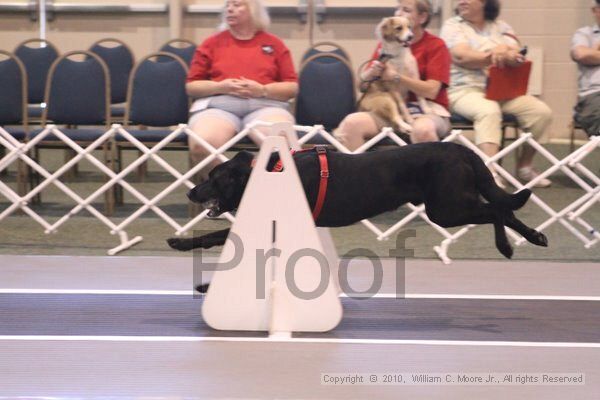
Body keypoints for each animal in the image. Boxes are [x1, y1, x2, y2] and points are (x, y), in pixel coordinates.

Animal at [168, 142, 548, 258]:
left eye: (213, 178)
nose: (189, 191)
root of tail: (460, 148)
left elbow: (215, 235)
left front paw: (178, 241)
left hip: (446, 208)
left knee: (496, 209)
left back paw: (506, 246)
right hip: (453, 204)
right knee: (505, 208)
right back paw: (535, 237)